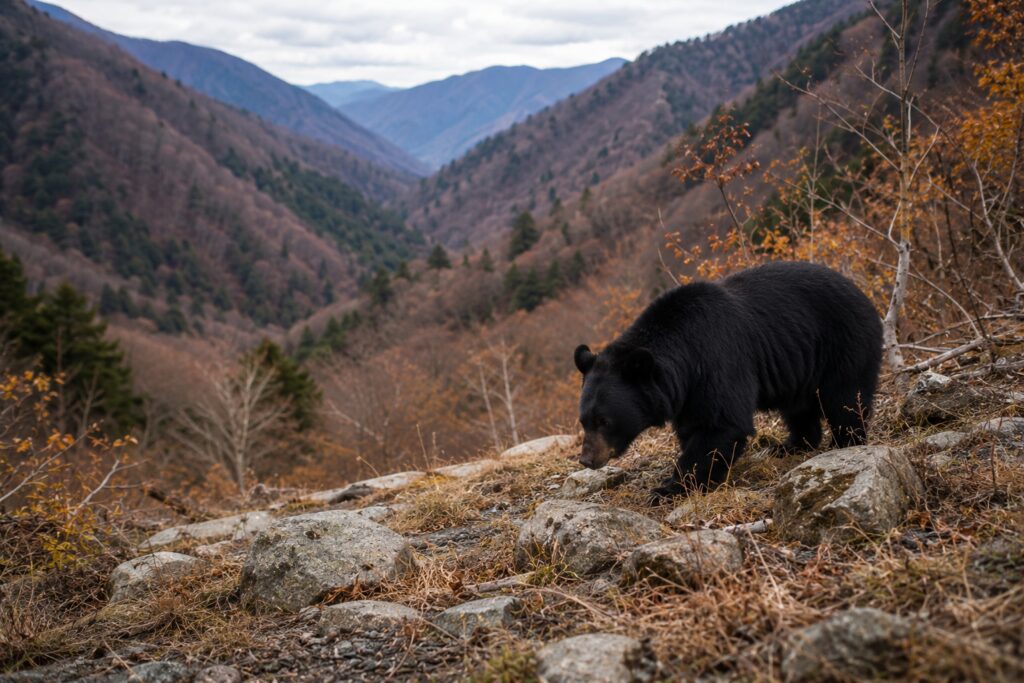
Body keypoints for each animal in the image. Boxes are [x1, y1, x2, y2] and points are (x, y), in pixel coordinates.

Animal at [573, 261, 883, 501]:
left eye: (604, 421)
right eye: (584, 421)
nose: (587, 459)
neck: (683, 356)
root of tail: (864, 295)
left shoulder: (716, 360)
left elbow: (720, 425)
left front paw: (668, 489)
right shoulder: (687, 393)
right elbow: (693, 427)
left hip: (843, 345)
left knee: (844, 399)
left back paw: (847, 442)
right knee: (799, 409)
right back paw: (790, 445)